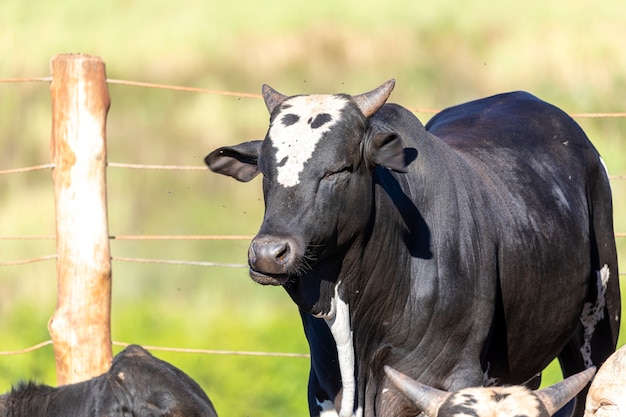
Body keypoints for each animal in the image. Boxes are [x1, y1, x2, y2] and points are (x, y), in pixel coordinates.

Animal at [206, 80, 620, 416]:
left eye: (339, 169)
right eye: (264, 169)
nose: (268, 253)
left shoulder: (452, 381)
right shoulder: (323, 391)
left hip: (598, 326)